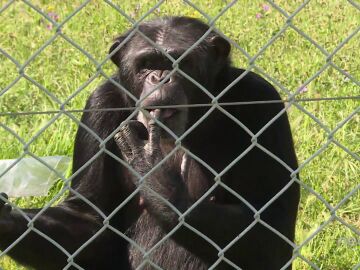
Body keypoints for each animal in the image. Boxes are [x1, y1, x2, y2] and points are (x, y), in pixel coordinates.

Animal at [0, 17, 298, 270]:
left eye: (180, 63)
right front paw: (7, 220)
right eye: (146, 64)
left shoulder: (261, 101)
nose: (161, 76)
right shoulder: (99, 106)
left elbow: (272, 225)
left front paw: (152, 172)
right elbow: (88, 221)